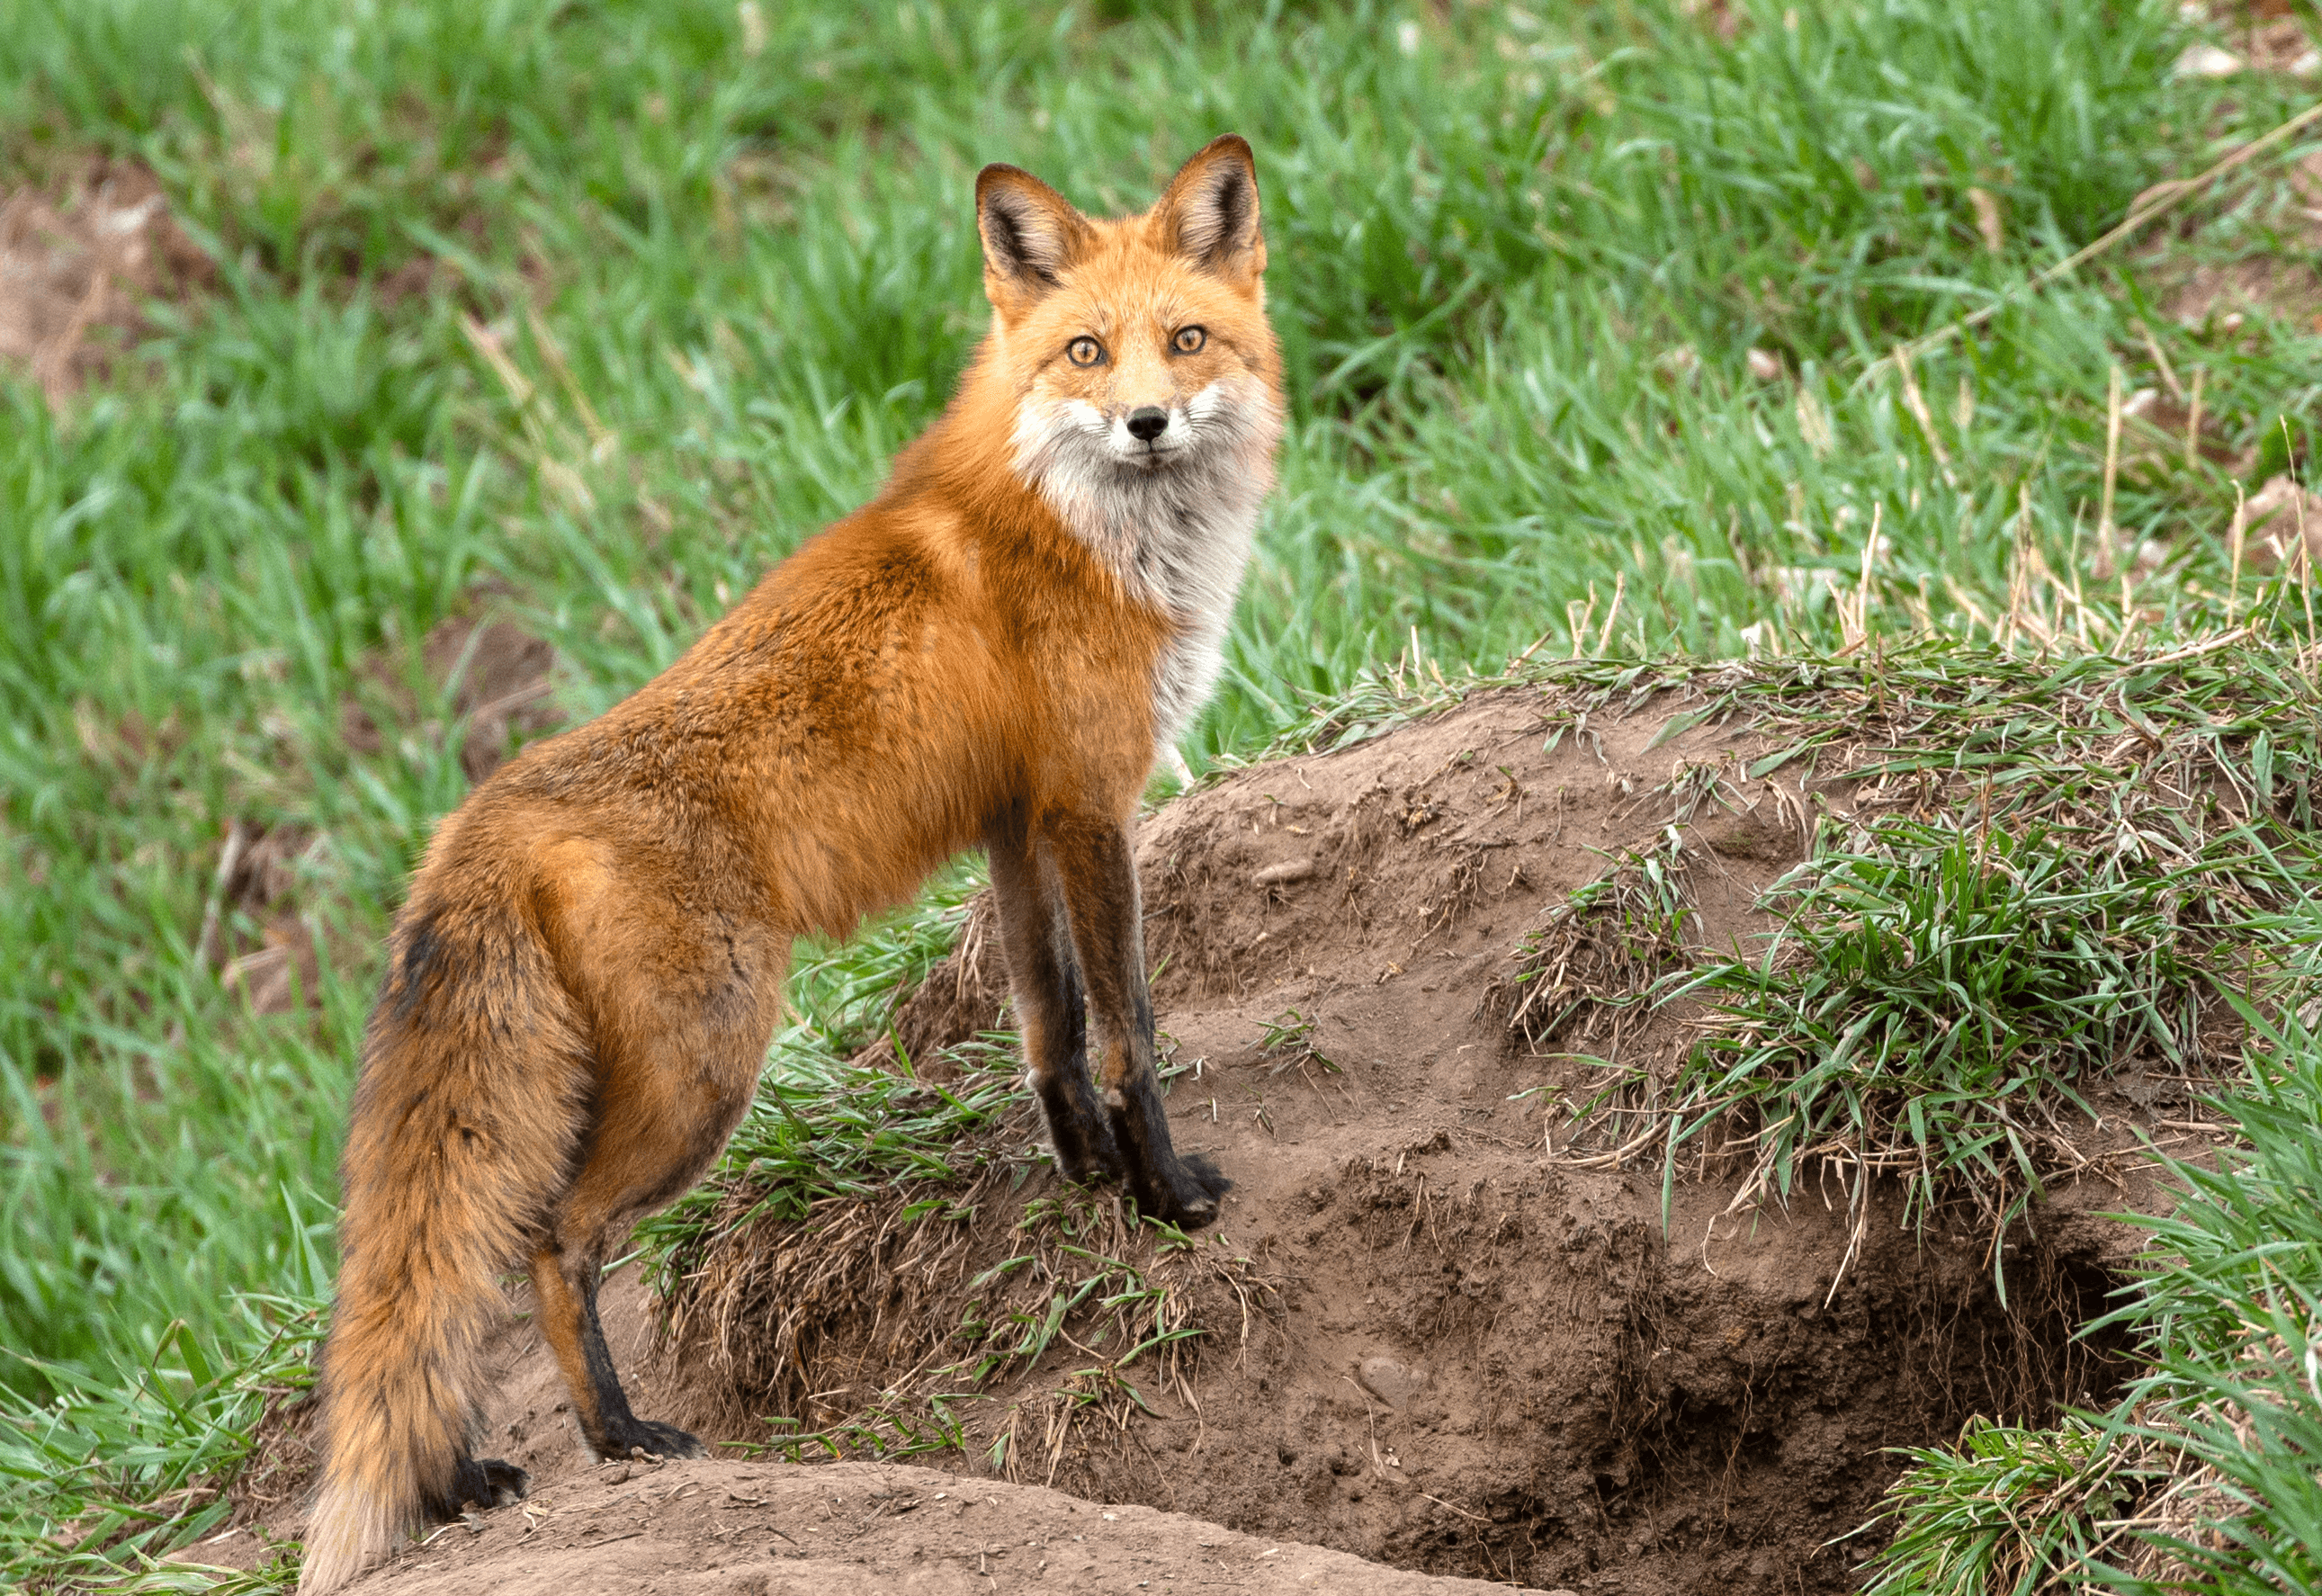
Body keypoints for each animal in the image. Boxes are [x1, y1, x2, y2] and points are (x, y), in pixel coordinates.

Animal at [294, 134, 1282, 1593]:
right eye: (1087, 352)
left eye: (1188, 340)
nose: (1147, 422)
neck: (1082, 530)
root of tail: (481, 819)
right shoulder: (1091, 809)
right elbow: (1128, 1033)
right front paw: (1164, 1197)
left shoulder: (1017, 821)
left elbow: (1047, 1026)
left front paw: (1089, 1174)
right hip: (707, 1064)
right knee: (550, 1240)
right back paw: (621, 1436)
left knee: (460, 1274)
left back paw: (466, 1475)